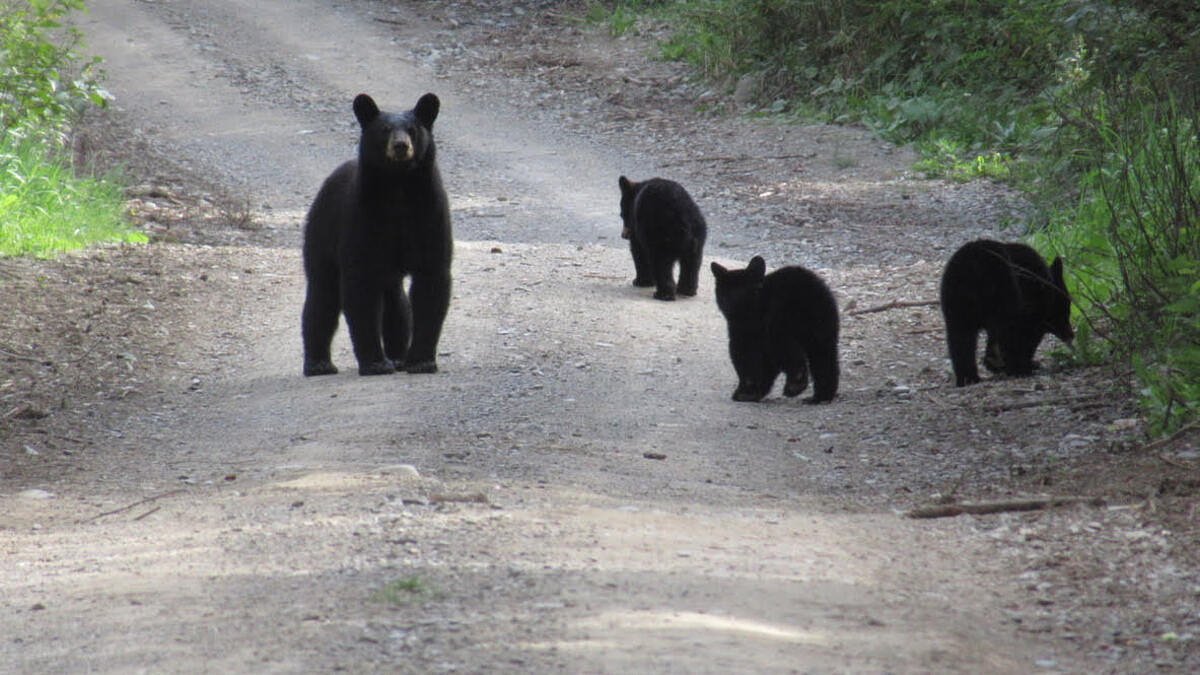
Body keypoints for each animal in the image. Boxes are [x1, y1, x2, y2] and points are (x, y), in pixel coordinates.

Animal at [301, 92, 452, 376]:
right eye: (384, 130)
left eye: (412, 129)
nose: (401, 146)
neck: (398, 187)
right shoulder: (363, 219)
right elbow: (360, 287)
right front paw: (374, 363)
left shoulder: (429, 214)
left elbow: (431, 279)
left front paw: (421, 361)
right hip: (321, 234)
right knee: (322, 296)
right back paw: (318, 363)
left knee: (395, 301)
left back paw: (398, 357)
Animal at [711, 256, 840, 403]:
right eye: (726, 292)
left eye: (742, 290)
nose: (733, 301)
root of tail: (805, 290)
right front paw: (755, 392)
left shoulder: (744, 332)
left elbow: (745, 359)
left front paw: (745, 392)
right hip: (823, 324)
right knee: (824, 357)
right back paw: (820, 397)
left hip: (779, 320)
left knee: (785, 348)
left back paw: (795, 384)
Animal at [939, 239, 1073, 387]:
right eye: (1066, 309)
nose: (1071, 334)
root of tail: (972, 266)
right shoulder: (1032, 311)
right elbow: (1028, 336)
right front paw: (1025, 364)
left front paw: (993, 363)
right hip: (1005, 291)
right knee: (1007, 331)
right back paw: (1017, 369)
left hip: (957, 307)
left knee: (960, 338)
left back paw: (968, 378)